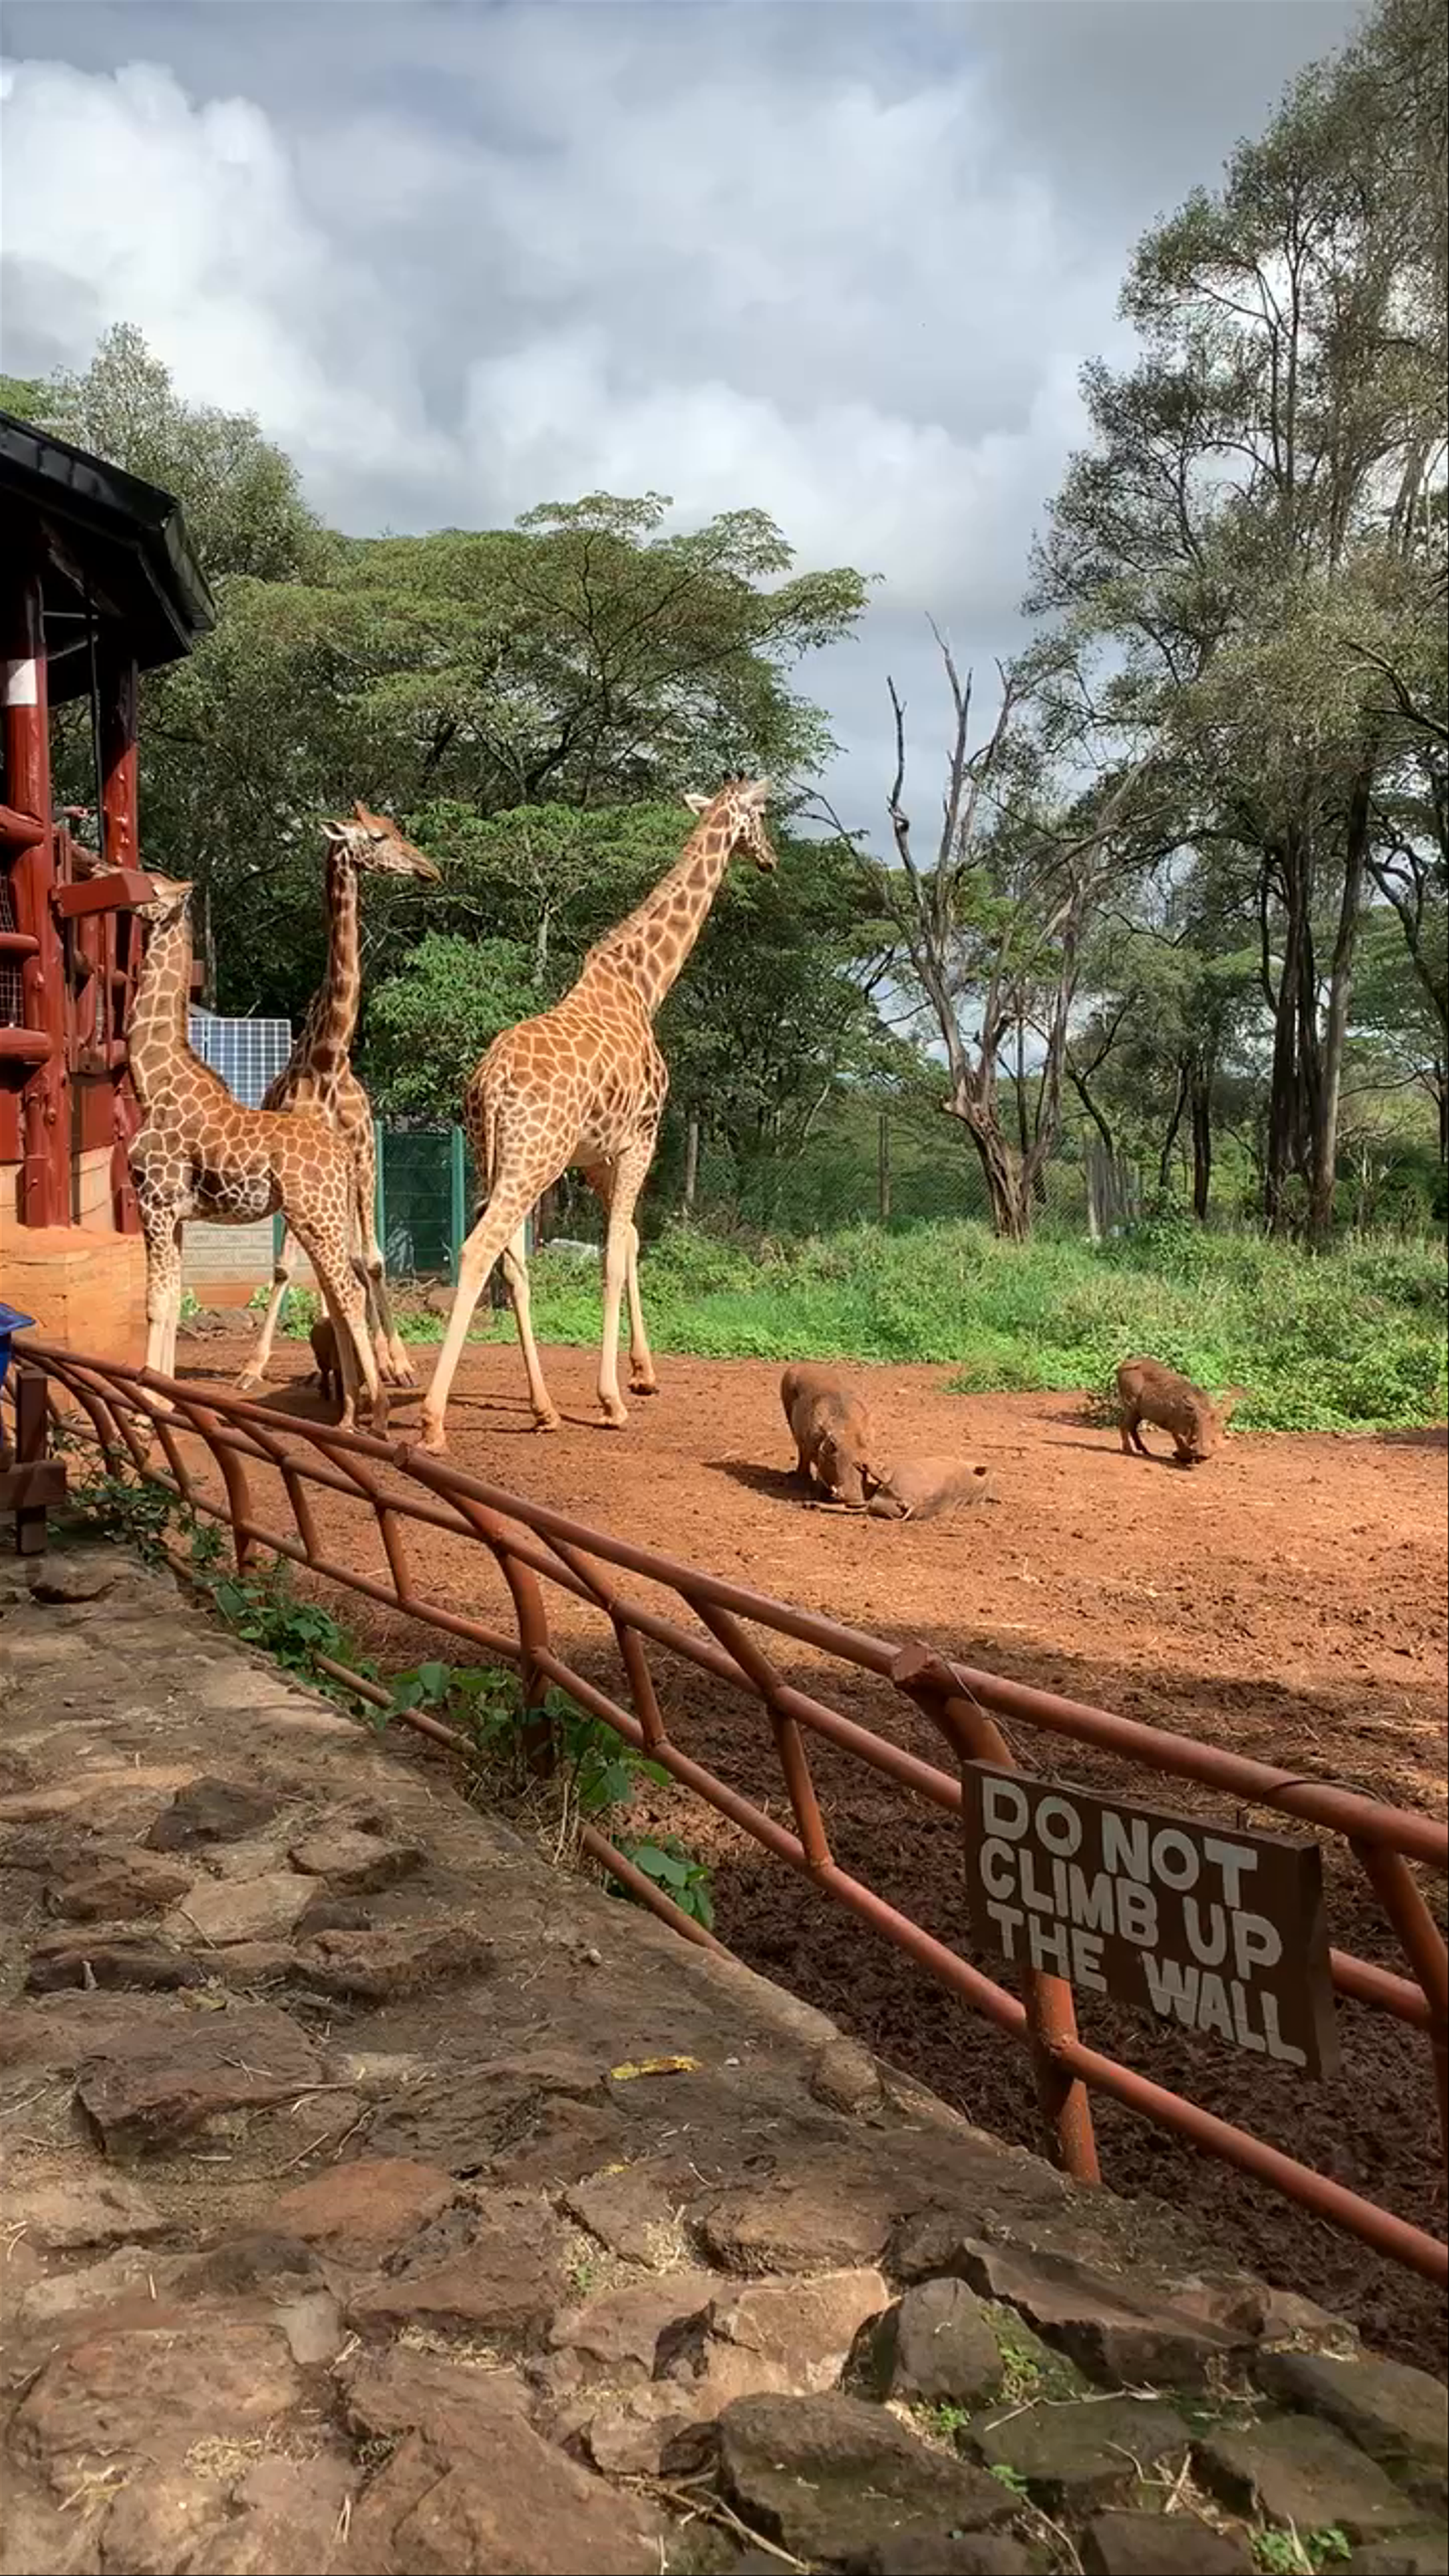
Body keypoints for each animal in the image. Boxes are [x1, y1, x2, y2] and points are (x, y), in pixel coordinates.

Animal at [125, 875, 387, 1435]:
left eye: (153, 883)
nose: (104, 878)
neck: (151, 1083)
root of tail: (341, 1152)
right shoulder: (176, 1213)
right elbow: (172, 1299)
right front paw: (165, 1400)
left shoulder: (154, 1200)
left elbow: (155, 1302)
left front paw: (146, 1408)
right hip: (323, 1216)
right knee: (342, 1289)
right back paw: (351, 1411)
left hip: (315, 1215)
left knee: (349, 1291)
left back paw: (373, 1411)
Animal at [239, 801, 440, 1396]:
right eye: (376, 837)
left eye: (397, 830)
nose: (429, 869)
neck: (328, 1060)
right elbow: (295, 1265)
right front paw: (256, 1366)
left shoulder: (362, 1152)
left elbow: (369, 1259)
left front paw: (396, 1360)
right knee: (320, 1259)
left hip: (352, 1172)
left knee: (356, 1255)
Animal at [418, 777, 777, 1456]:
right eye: (762, 815)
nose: (772, 858)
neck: (643, 984)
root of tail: (487, 1086)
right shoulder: (641, 1137)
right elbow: (612, 1253)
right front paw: (612, 1399)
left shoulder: (595, 1157)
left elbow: (629, 1238)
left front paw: (643, 1373)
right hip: (533, 1158)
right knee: (481, 1249)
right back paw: (432, 1419)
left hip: (497, 1156)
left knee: (514, 1260)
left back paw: (544, 1409)